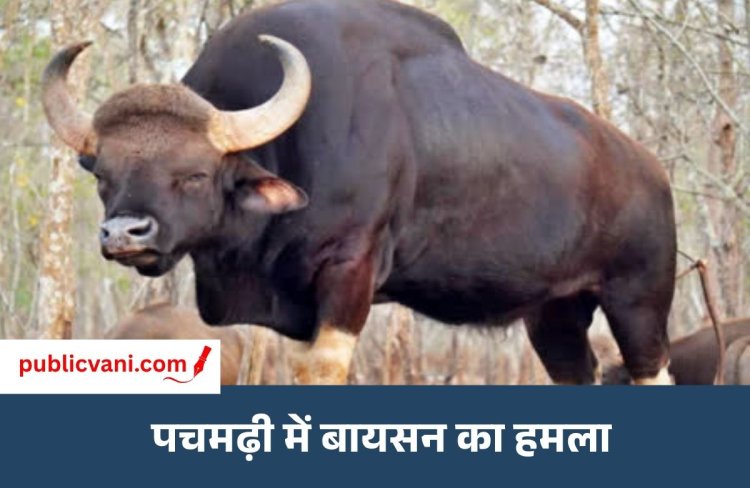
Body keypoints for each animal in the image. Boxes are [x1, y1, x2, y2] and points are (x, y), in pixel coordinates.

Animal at [42, 0, 676, 384]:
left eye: (195, 173)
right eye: (102, 174)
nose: (125, 234)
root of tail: (650, 169)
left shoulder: (349, 274)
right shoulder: (291, 305)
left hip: (640, 301)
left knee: (653, 369)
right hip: (554, 315)